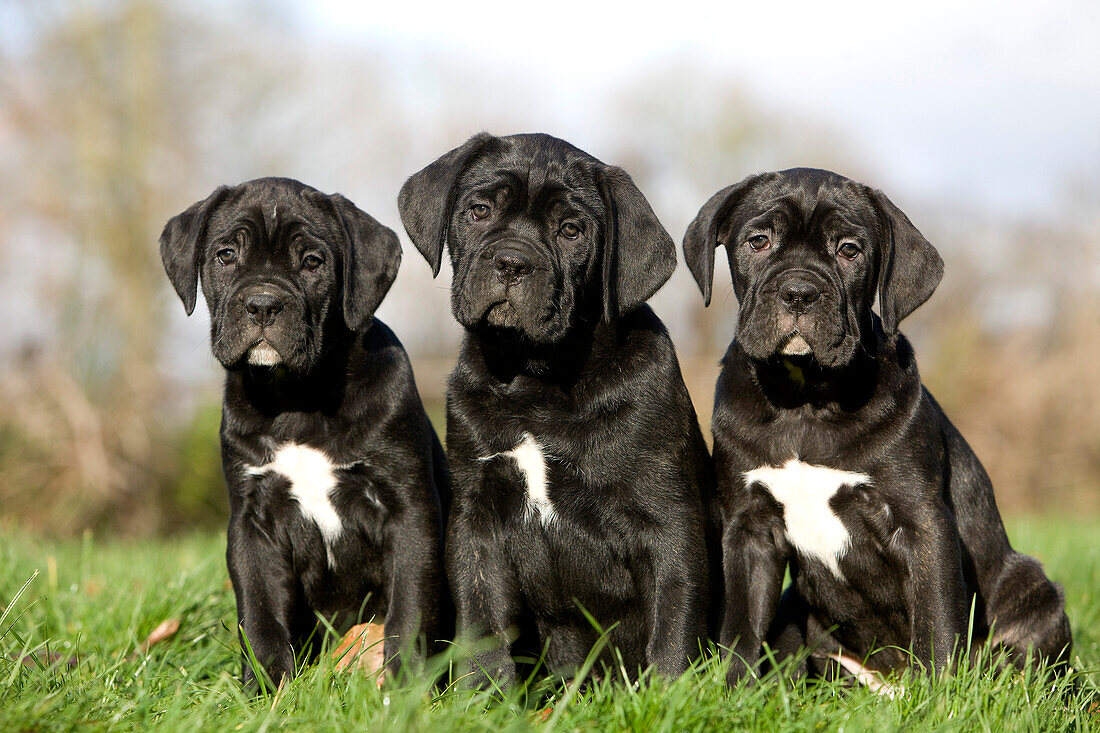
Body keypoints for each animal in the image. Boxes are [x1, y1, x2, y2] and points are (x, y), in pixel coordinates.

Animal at [158, 178, 446, 691]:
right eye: (225, 255)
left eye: (312, 262)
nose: (262, 304)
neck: (297, 400)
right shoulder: (253, 523)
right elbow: (260, 612)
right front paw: (268, 688)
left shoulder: (409, 511)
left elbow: (410, 609)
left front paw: (405, 689)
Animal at [400, 131, 717, 686]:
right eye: (479, 210)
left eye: (571, 230)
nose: (511, 262)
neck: (538, 383)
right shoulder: (477, 521)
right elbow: (483, 621)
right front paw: (484, 695)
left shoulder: (668, 524)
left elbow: (673, 623)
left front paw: (668, 695)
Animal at [682, 169, 1069, 686]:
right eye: (758, 241)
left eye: (850, 250)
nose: (799, 292)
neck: (806, 401)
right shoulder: (749, 528)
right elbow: (741, 626)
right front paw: (732, 691)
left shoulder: (922, 523)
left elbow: (937, 621)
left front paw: (938, 695)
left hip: (1034, 590)